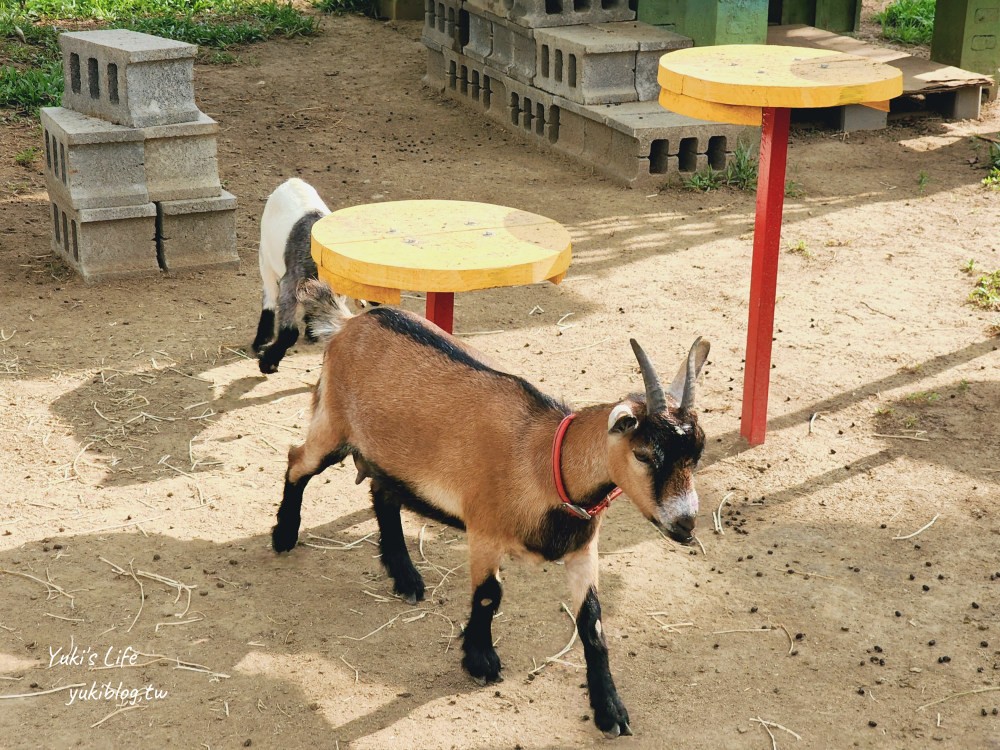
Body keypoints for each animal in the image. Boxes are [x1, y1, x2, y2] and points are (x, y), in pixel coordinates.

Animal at [274, 282, 712, 740]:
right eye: (644, 454)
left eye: (697, 453)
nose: (684, 523)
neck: (544, 460)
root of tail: (348, 324)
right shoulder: (483, 530)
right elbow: (489, 596)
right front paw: (480, 661)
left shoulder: (582, 549)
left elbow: (592, 623)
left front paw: (610, 710)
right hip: (331, 426)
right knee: (297, 462)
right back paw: (284, 536)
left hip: (388, 456)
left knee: (382, 493)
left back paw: (406, 577)